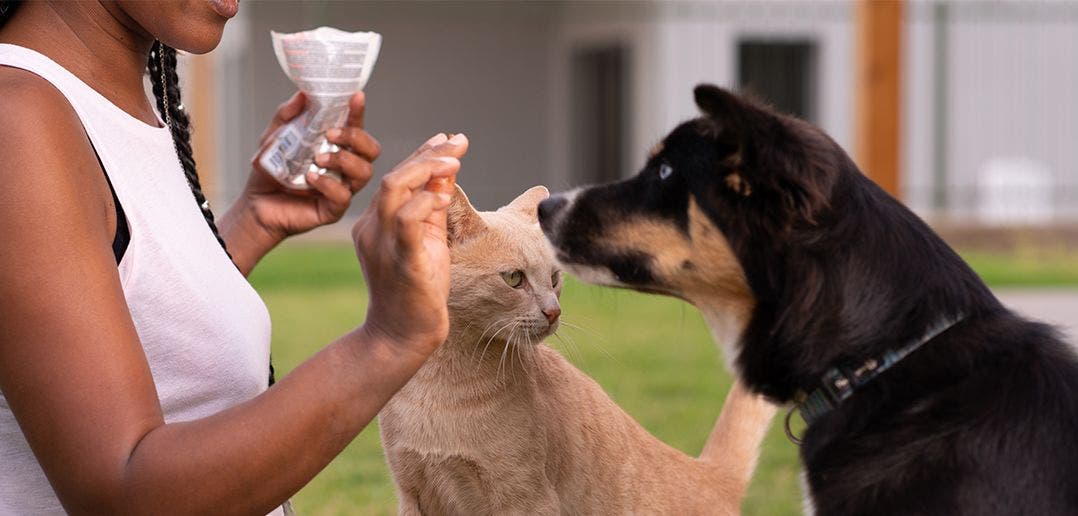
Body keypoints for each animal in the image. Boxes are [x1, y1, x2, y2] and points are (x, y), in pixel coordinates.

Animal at [379, 185, 776, 512]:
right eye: (514, 279)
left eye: (554, 279)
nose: (553, 311)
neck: (441, 381)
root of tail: (711, 475)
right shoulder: (411, 493)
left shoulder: (526, 499)